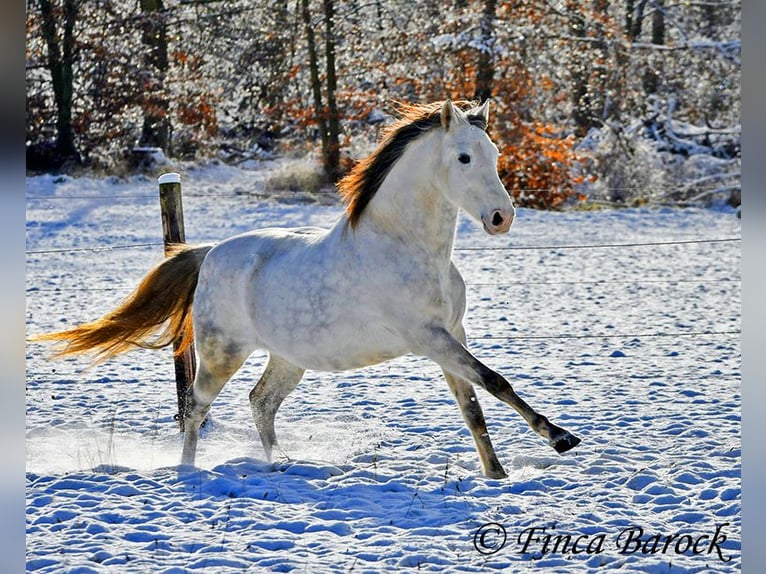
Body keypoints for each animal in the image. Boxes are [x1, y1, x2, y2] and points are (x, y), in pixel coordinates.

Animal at [34, 101, 576, 480]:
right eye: (463, 157)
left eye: (495, 155)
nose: (501, 217)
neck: (408, 247)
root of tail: (209, 253)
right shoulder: (428, 338)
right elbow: (495, 382)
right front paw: (559, 438)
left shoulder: (452, 335)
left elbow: (473, 406)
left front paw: (496, 473)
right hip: (221, 353)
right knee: (197, 408)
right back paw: (189, 471)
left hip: (287, 358)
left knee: (260, 402)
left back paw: (279, 463)